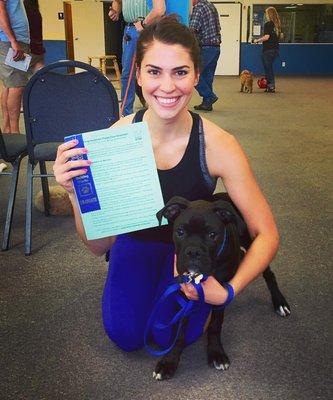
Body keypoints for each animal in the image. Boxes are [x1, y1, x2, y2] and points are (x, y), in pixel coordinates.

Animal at [154, 194, 290, 382]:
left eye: (212, 235)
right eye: (180, 232)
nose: (193, 252)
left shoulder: (220, 294)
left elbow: (215, 325)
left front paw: (216, 353)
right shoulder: (184, 292)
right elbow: (180, 329)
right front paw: (170, 360)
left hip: (253, 241)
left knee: (269, 273)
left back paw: (279, 302)